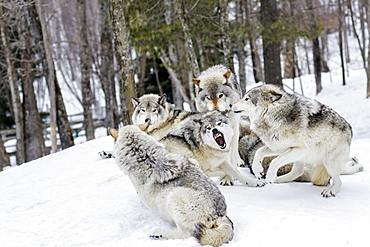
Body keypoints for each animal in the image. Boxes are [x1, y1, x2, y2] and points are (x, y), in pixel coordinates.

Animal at [231, 84, 364, 197]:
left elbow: (274, 162)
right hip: (303, 160)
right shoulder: (280, 147)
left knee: (338, 180)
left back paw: (331, 190)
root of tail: (349, 128)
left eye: (247, 99)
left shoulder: (300, 149)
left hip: (328, 162)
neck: (276, 116)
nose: (231, 105)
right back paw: (277, 180)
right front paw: (258, 171)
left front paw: (269, 176)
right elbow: (260, 152)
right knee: (297, 172)